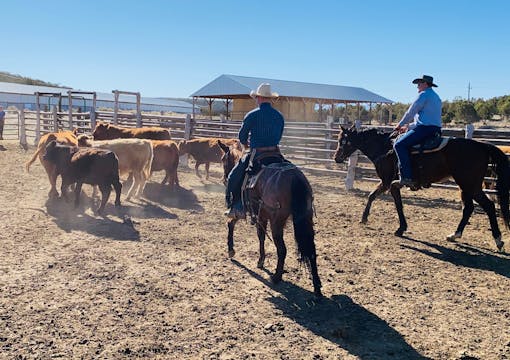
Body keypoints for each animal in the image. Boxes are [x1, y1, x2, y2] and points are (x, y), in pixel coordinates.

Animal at [216, 141, 320, 298]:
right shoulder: (261, 216)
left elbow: (232, 224)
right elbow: (261, 237)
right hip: (306, 218)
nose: (224, 178)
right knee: (311, 249)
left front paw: (232, 250)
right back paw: (317, 287)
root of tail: (294, 177)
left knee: (282, 249)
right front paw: (261, 260)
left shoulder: (245, 211)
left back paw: (276, 277)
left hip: (276, 222)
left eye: (223, 159)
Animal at [332, 128, 510, 252]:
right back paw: (455, 235)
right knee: (468, 208)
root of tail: (481, 145)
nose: (336, 158)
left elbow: (396, 204)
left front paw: (400, 228)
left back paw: (498, 240)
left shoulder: (389, 182)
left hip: (470, 185)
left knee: (488, 206)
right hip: (465, 186)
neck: (384, 148)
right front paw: (364, 218)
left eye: (344, 141)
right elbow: (372, 196)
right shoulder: (389, 183)